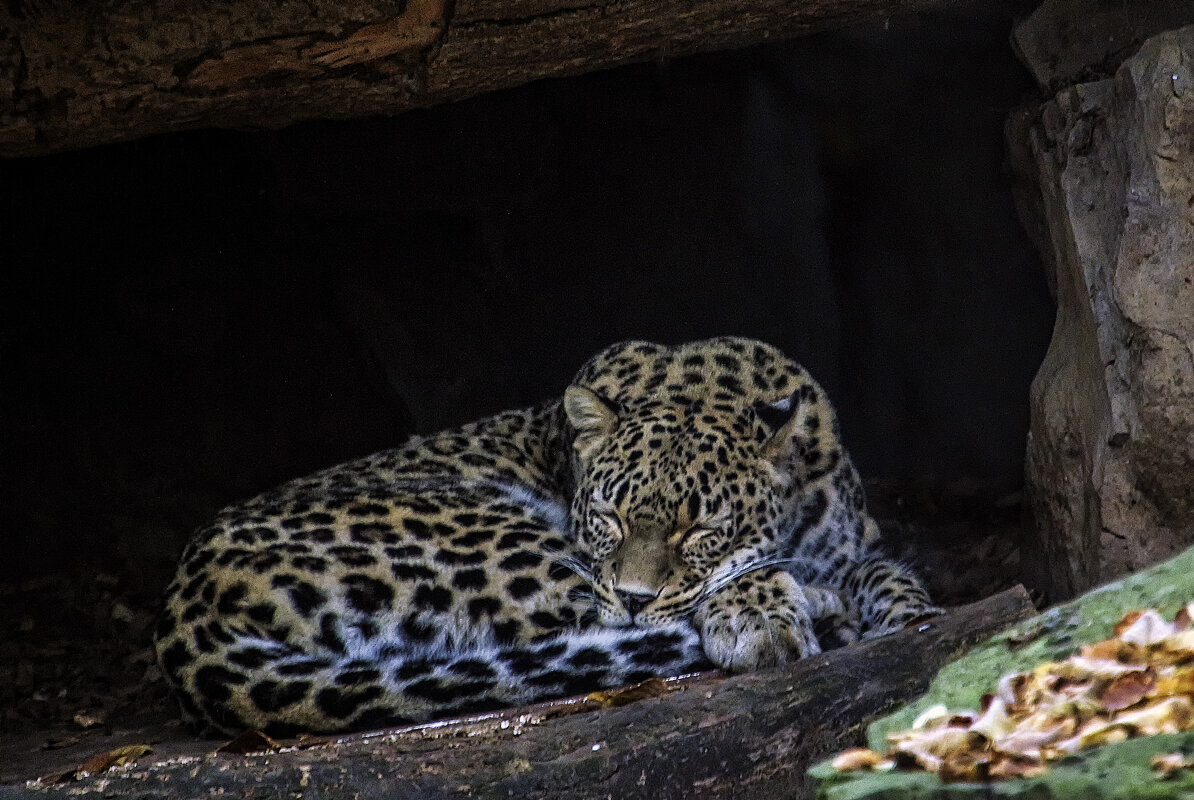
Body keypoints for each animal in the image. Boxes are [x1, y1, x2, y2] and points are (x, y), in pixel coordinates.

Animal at [151, 334, 931, 735]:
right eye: (609, 517)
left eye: (699, 528)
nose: (636, 596)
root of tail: (180, 611)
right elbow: (737, 581)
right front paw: (764, 616)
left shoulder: (856, 544)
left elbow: (886, 573)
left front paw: (909, 616)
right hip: (502, 540)